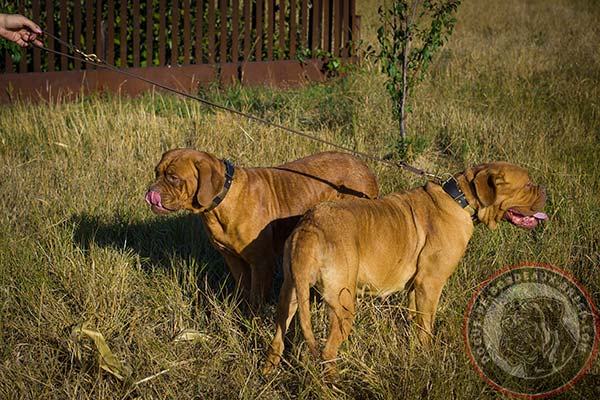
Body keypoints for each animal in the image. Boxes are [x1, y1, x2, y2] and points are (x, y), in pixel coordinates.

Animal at [145, 148, 378, 304]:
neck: (221, 201)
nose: (150, 191)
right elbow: (243, 288)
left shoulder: (261, 263)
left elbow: (256, 298)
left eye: (174, 178)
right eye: (156, 172)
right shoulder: (232, 259)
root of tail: (365, 167)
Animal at [264, 161, 548, 376]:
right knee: (327, 352)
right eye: (527, 185)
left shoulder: (415, 288)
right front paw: (428, 355)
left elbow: (415, 318)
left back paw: (269, 371)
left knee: (278, 336)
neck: (460, 198)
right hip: (343, 304)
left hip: (291, 295)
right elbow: (427, 326)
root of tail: (309, 229)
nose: (545, 190)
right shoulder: (430, 284)